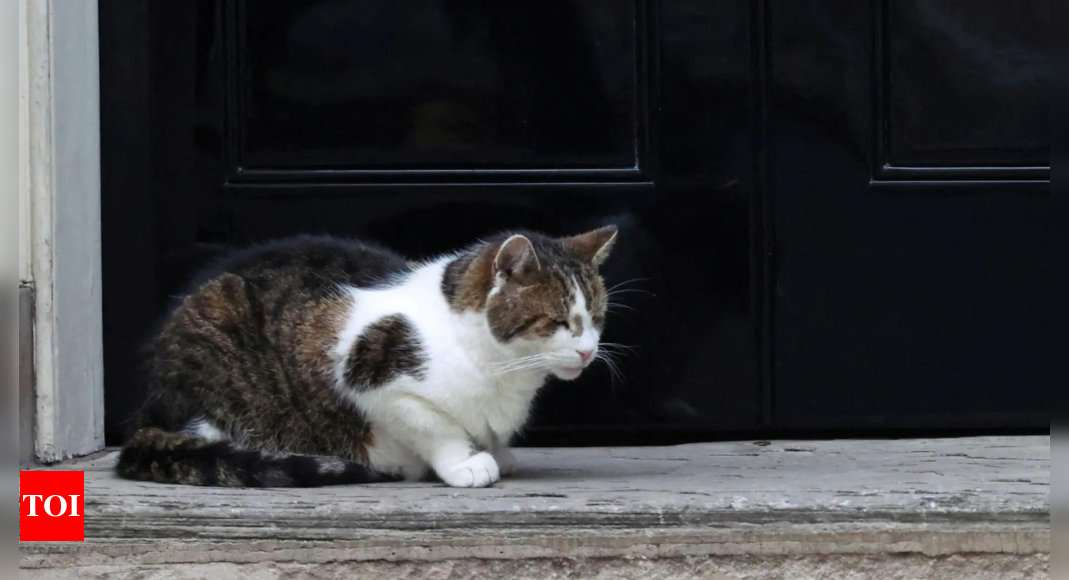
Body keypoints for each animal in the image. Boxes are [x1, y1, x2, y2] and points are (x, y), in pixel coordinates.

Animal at [114, 224, 620, 487]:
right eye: (557, 321)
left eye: (596, 317)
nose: (588, 350)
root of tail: (149, 408)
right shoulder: (370, 376)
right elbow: (435, 427)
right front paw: (465, 462)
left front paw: (496, 450)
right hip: (222, 342)